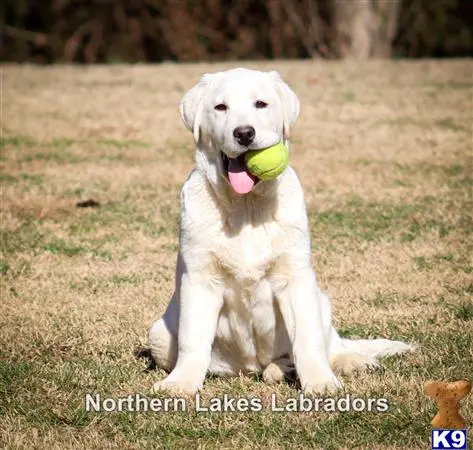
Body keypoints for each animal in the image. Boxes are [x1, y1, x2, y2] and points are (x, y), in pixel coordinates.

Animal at [147, 67, 410, 394]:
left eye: (261, 104)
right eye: (220, 107)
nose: (244, 133)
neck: (246, 206)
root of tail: (251, 368)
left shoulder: (295, 278)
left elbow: (309, 339)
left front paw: (320, 382)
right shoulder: (200, 278)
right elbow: (192, 340)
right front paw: (180, 383)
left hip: (321, 300)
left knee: (331, 343)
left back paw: (348, 361)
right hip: (158, 333)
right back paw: (282, 369)